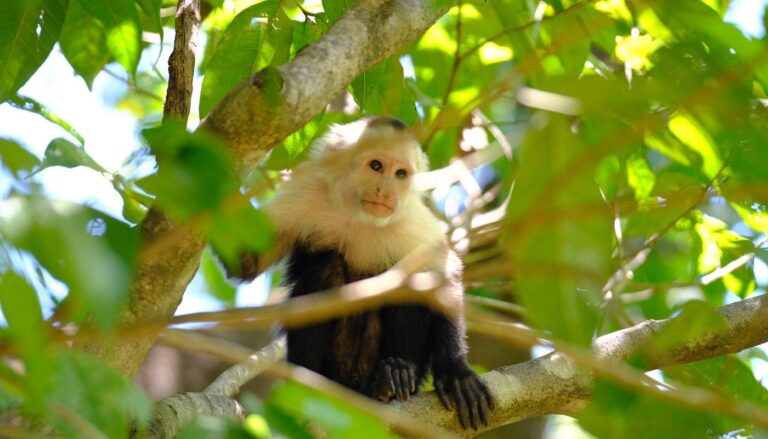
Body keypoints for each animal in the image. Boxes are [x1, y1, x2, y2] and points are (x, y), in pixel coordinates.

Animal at [231, 116, 496, 430]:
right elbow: (247, 262)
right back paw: (314, 385)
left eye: (401, 174)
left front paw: (455, 372)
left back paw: (391, 377)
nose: (386, 191)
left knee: (410, 283)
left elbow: (444, 274)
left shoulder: (411, 220)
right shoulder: (303, 193)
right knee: (325, 270)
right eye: (376, 166)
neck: (358, 217)